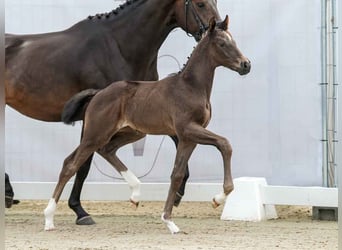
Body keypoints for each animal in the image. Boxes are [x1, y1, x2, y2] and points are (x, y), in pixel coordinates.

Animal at [5, 0, 223, 225]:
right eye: (200, 4)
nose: (219, 28)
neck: (119, 46)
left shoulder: (153, 112)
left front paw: (179, 192)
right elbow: (84, 164)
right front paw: (80, 211)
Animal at [44, 15, 250, 233]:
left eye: (234, 41)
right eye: (222, 43)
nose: (246, 65)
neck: (191, 87)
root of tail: (98, 93)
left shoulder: (189, 137)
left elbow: (178, 173)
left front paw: (172, 220)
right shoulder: (187, 129)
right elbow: (224, 144)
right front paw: (211, 201)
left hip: (131, 133)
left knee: (104, 150)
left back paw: (135, 194)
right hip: (96, 134)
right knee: (71, 164)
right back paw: (49, 219)